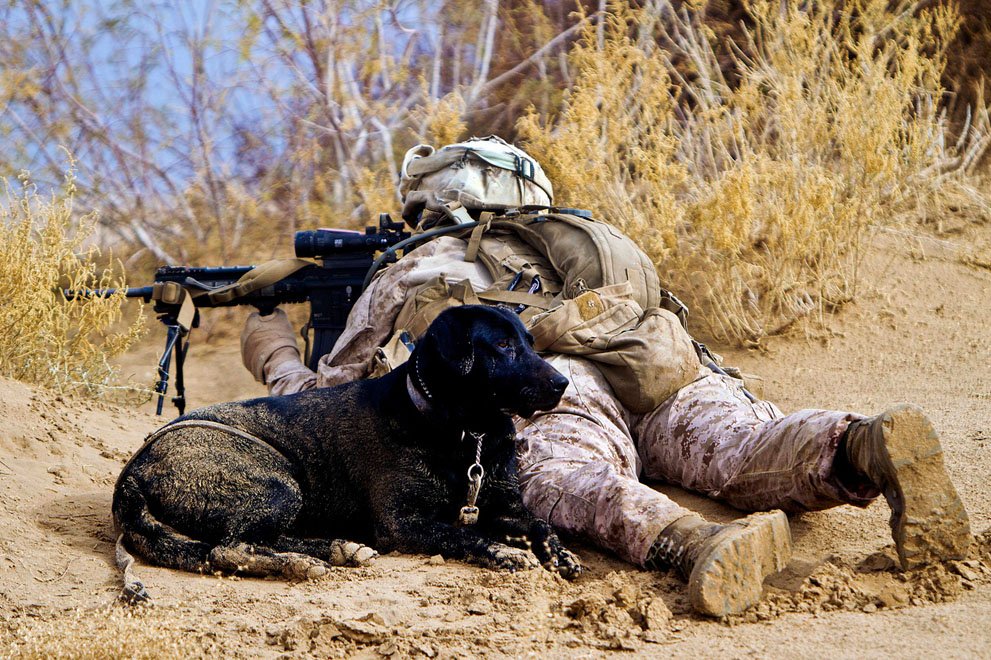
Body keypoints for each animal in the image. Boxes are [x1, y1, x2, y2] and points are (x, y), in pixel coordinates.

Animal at [111, 304, 580, 600]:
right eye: (501, 345)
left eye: (529, 341)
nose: (562, 384)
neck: (465, 432)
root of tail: (132, 473)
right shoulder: (402, 523)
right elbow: (463, 534)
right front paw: (504, 552)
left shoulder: (504, 506)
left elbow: (540, 523)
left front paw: (560, 553)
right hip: (278, 483)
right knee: (229, 548)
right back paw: (300, 564)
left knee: (258, 540)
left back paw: (338, 549)